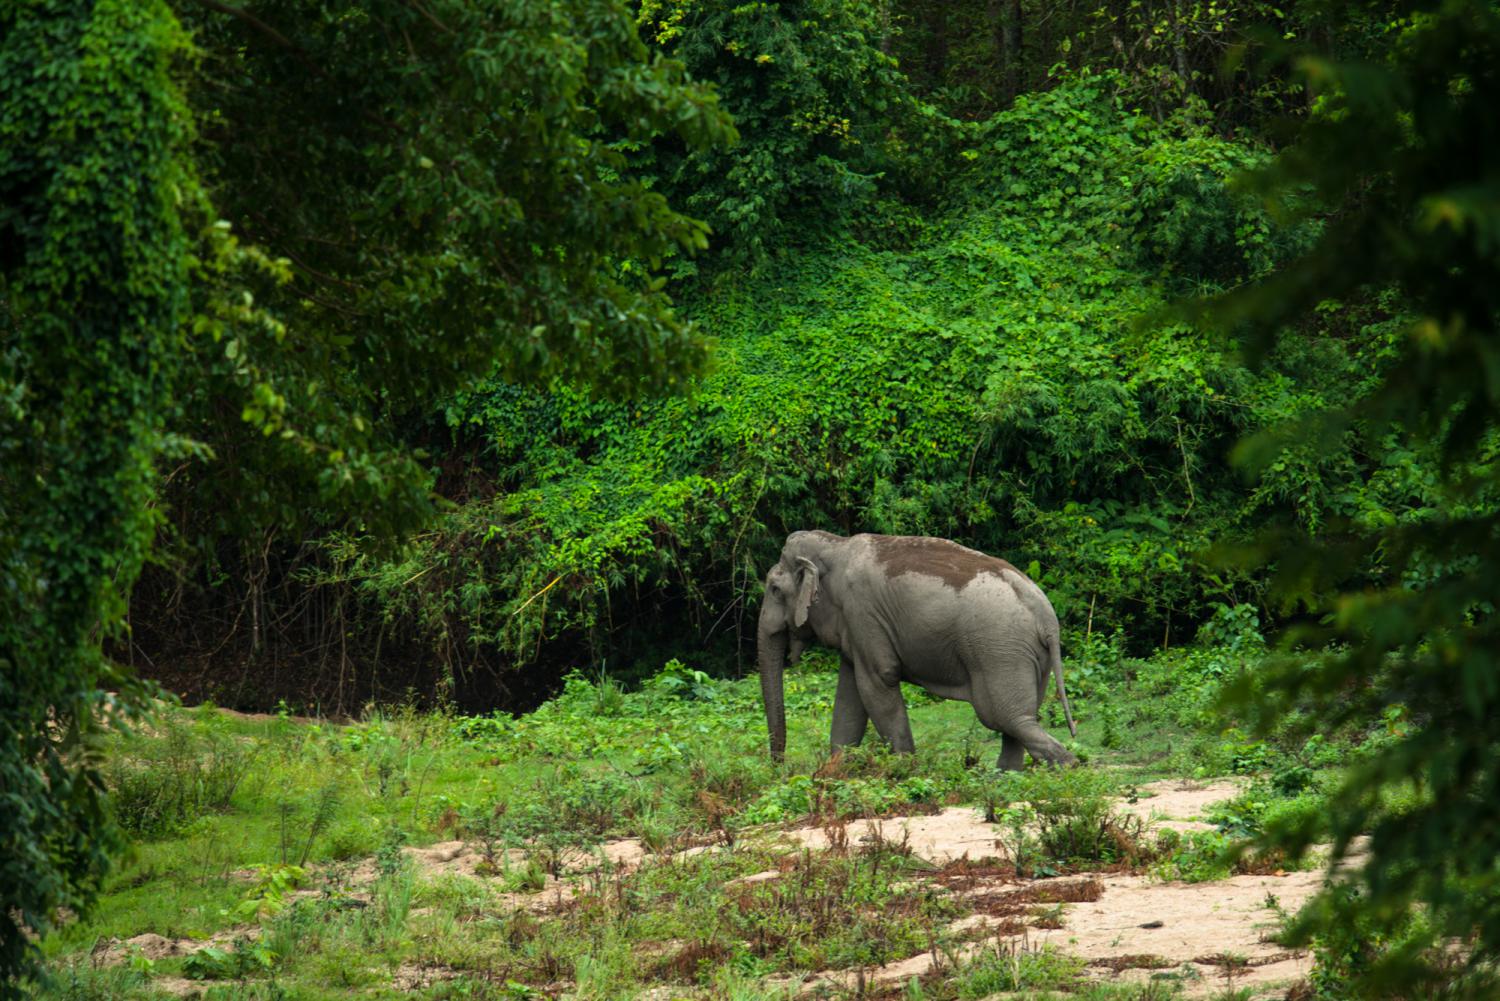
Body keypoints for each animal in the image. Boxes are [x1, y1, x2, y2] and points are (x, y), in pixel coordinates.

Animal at [756, 530, 1077, 770]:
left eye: (774, 589)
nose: (778, 767)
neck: (836, 545)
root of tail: (1047, 618)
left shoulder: (863, 614)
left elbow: (877, 683)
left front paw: (903, 771)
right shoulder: (855, 628)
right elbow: (850, 696)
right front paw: (835, 774)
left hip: (999, 650)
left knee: (1007, 717)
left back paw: (1065, 768)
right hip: (1030, 657)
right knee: (1018, 718)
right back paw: (1004, 778)